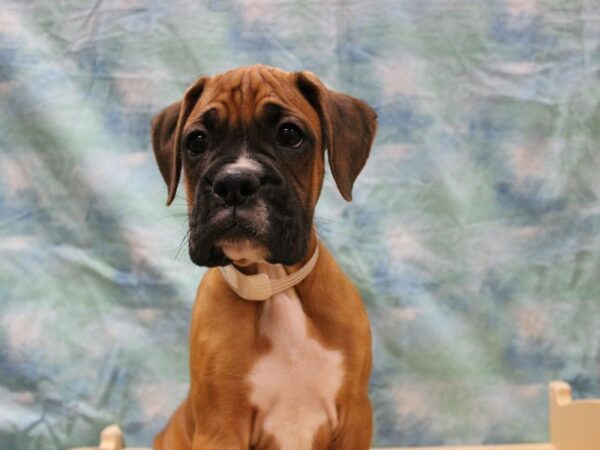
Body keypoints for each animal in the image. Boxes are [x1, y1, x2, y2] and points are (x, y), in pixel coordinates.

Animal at [150, 64, 376, 450]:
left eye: (290, 135)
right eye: (196, 142)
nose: (234, 182)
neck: (274, 284)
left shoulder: (355, 419)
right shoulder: (221, 427)